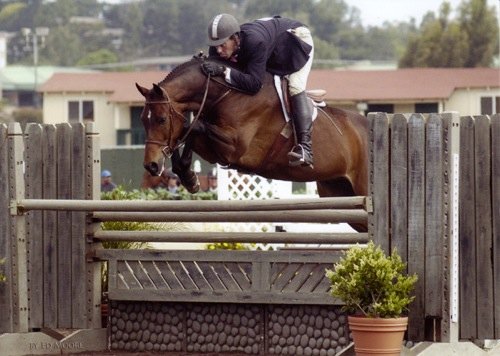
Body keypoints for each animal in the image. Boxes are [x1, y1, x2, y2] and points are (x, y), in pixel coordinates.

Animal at [135, 54, 370, 229]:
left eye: (161, 119)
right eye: (143, 120)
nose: (151, 166)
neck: (228, 92)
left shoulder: (234, 149)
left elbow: (191, 127)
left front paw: (188, 174)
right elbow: (187, 131)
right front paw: (188, 176)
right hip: (341, 193)